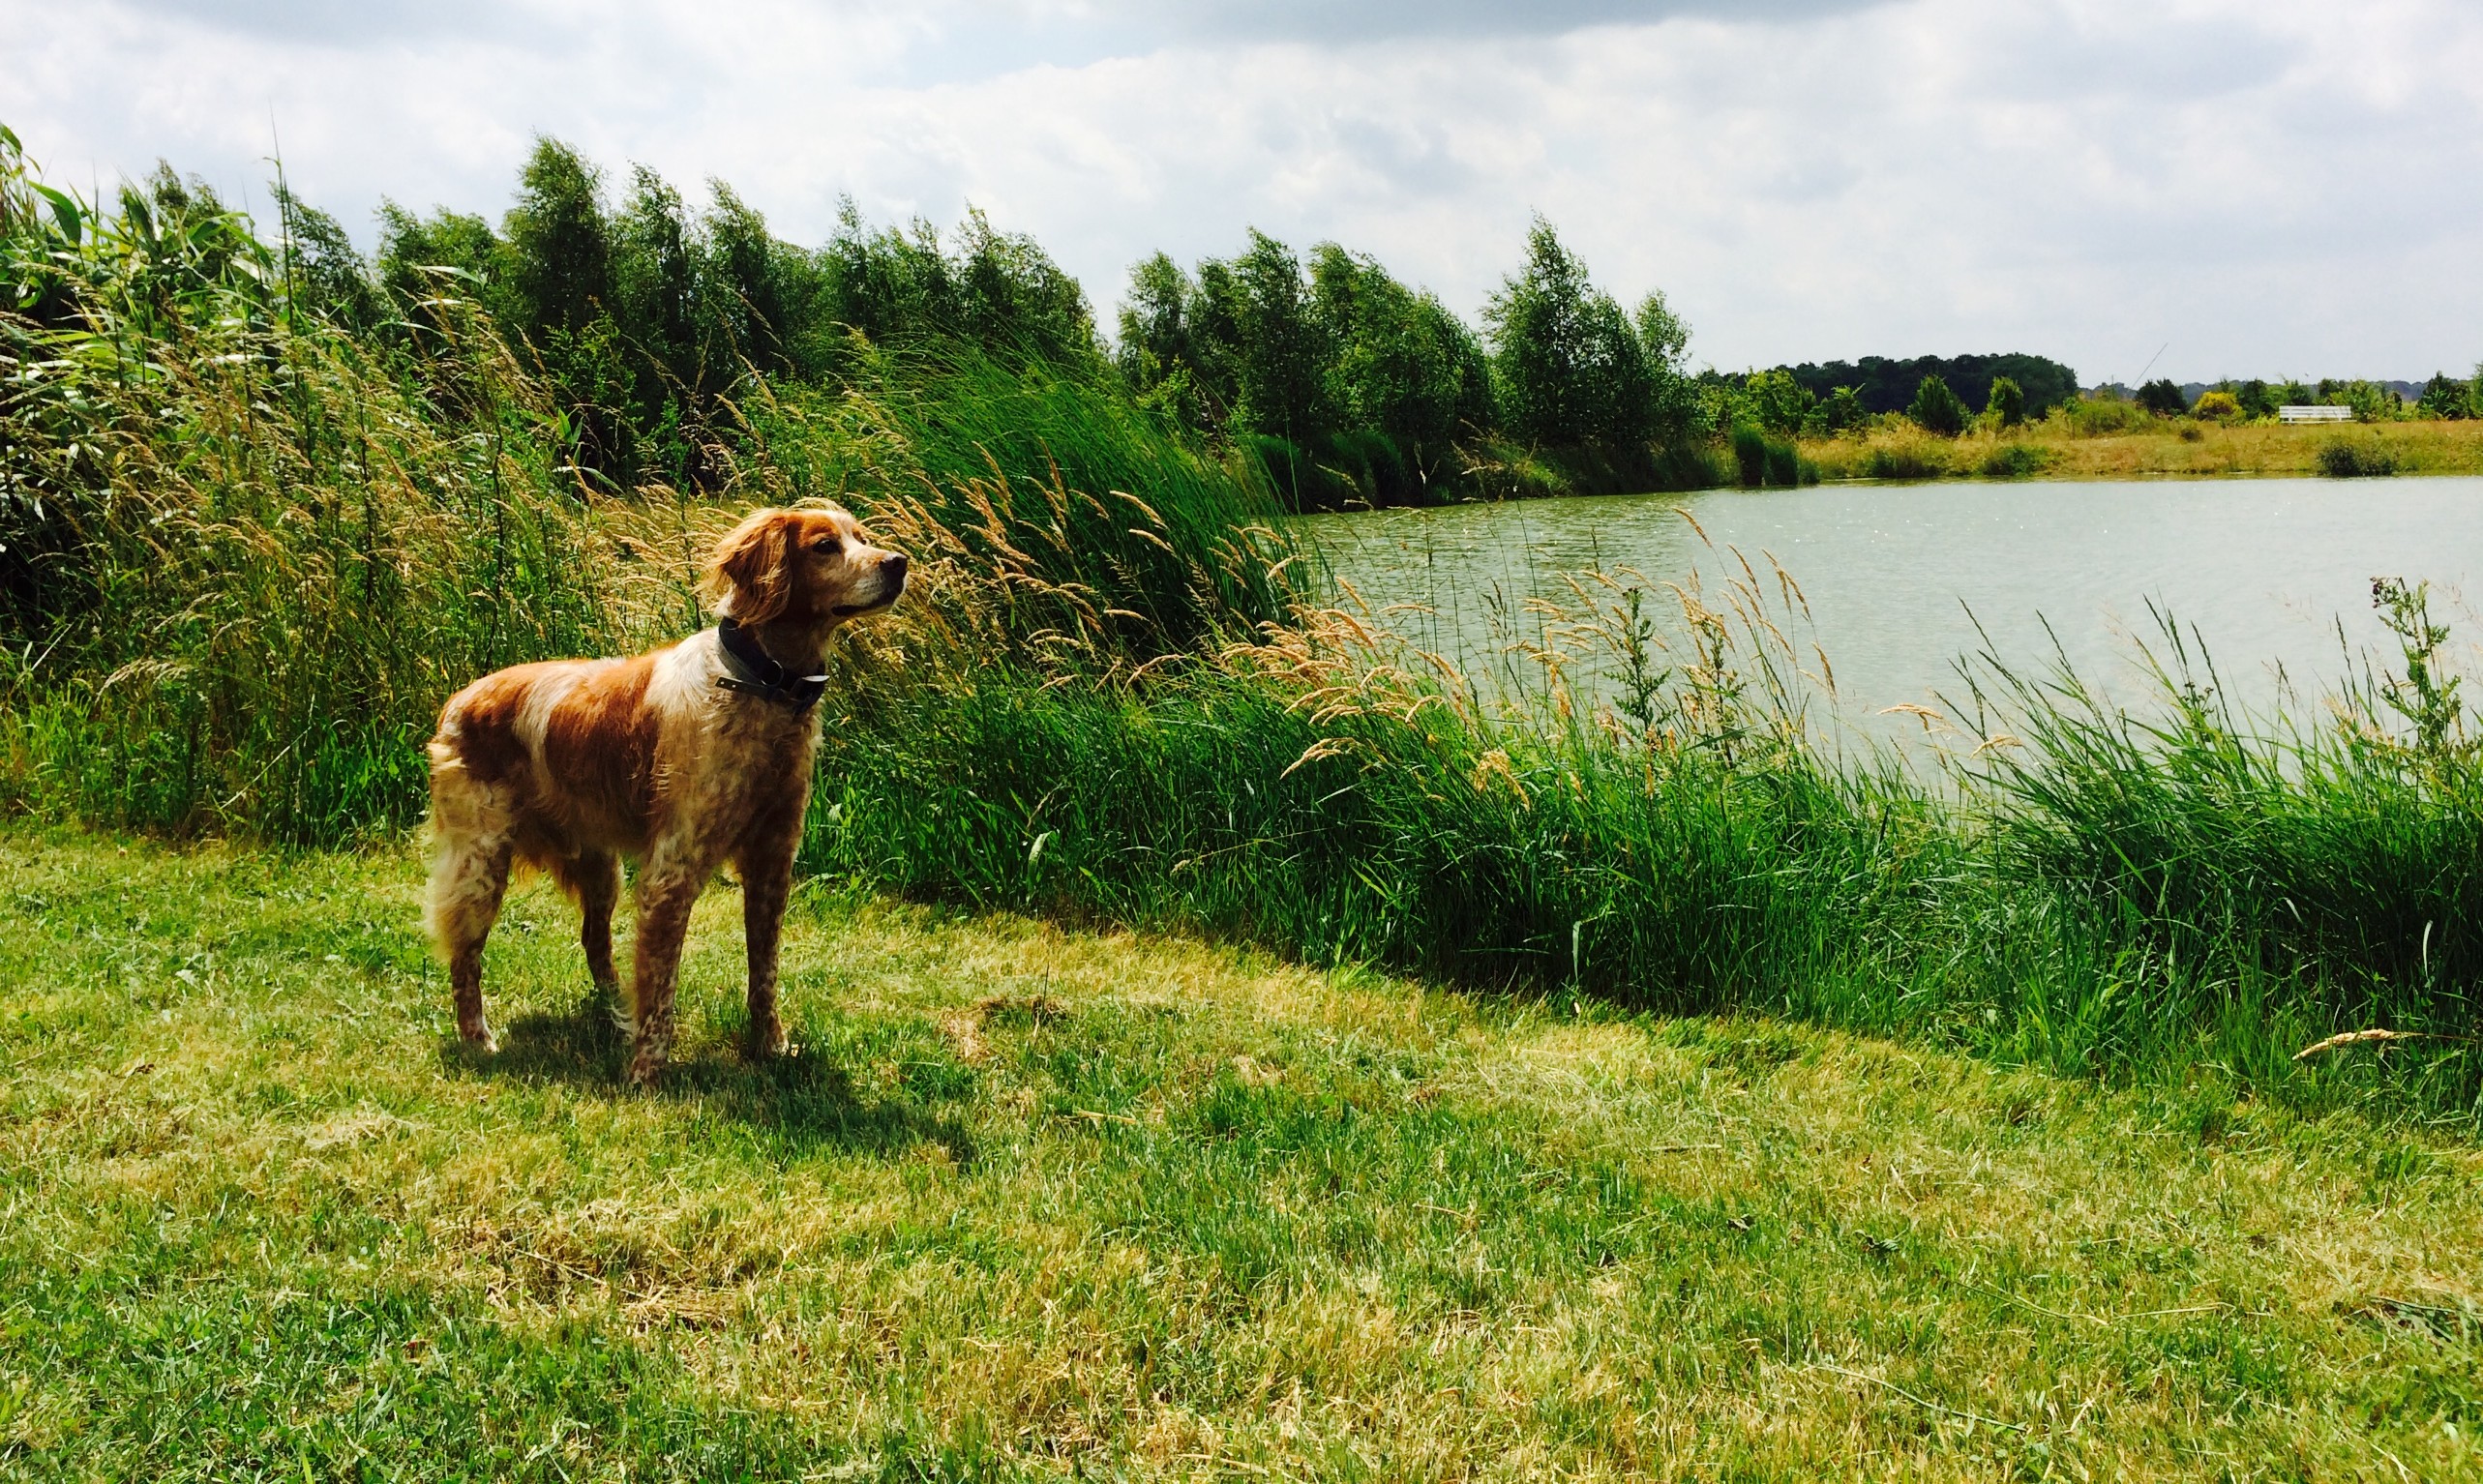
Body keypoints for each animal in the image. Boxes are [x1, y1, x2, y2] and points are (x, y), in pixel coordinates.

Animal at [422, 506, 909, 1086]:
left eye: (862, 537)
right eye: (824, 547)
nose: (898, 562)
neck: (759, 686)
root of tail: (459, 699)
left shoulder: (772, 862)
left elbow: (762, 972)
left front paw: (770, 1046)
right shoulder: (671, 870)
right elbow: (661, 989)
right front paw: (646, 1076)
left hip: (600, 869)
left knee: (596, 942)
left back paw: (614, 1009)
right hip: (479, 865)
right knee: (464, 958)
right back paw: (479, 1038)